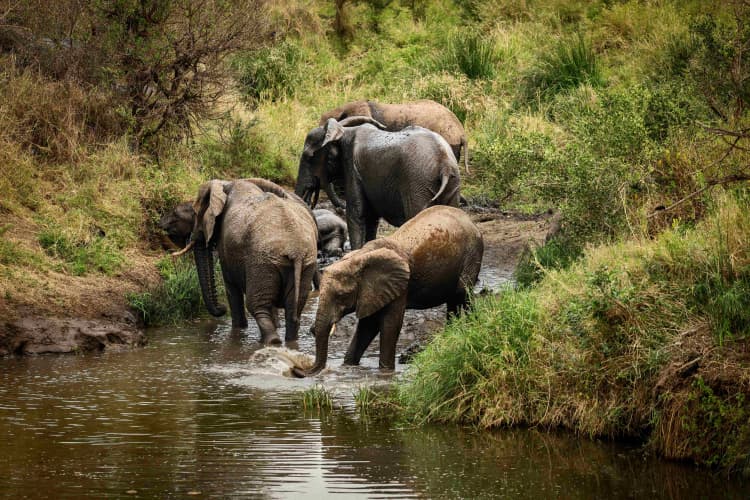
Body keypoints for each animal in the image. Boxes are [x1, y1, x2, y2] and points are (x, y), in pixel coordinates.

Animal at [188, 178, 320, 346]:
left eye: (195, 213)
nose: (222, 308)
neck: (226, 184)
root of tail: (295, 251)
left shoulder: (226, 246)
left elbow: (231, 287)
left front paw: (239, 329)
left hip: (262, 262)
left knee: (256, 305)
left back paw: (271, 342)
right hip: (306, 263)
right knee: (293, 309)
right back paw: (289, 341)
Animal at [290, 205, 484, 376]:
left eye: (341, 296)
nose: (296, 370)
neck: (361, 257)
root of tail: (470, 219)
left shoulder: (399, 286)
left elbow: (390, 324)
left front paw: (385, 373)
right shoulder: (372, 291)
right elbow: (367, 326)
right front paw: (349, 367)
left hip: (473, 253)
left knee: (462, 293)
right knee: (454, 300)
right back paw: (451, 335)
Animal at [296, 116, 462, 250]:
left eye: (308, 157)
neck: (343, 132)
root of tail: (444, 163)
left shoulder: (353, 170)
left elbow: (357, 214)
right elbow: (371, 219)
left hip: (417, 182)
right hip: (452, 182)